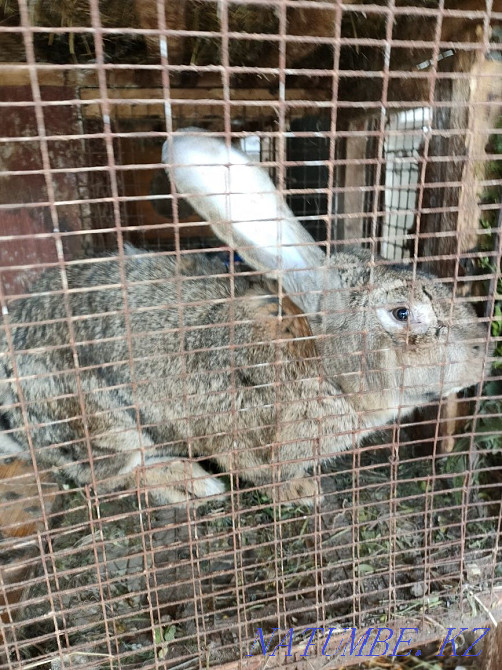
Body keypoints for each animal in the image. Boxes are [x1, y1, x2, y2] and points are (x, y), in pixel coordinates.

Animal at [0, 128, 491, 507]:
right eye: (402, 313)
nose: (483, 356)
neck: (321, 364)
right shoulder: (240, 436)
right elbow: (258, 472)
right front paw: (300, 492)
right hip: (95, 418)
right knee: (115, 473)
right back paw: (193, 485)